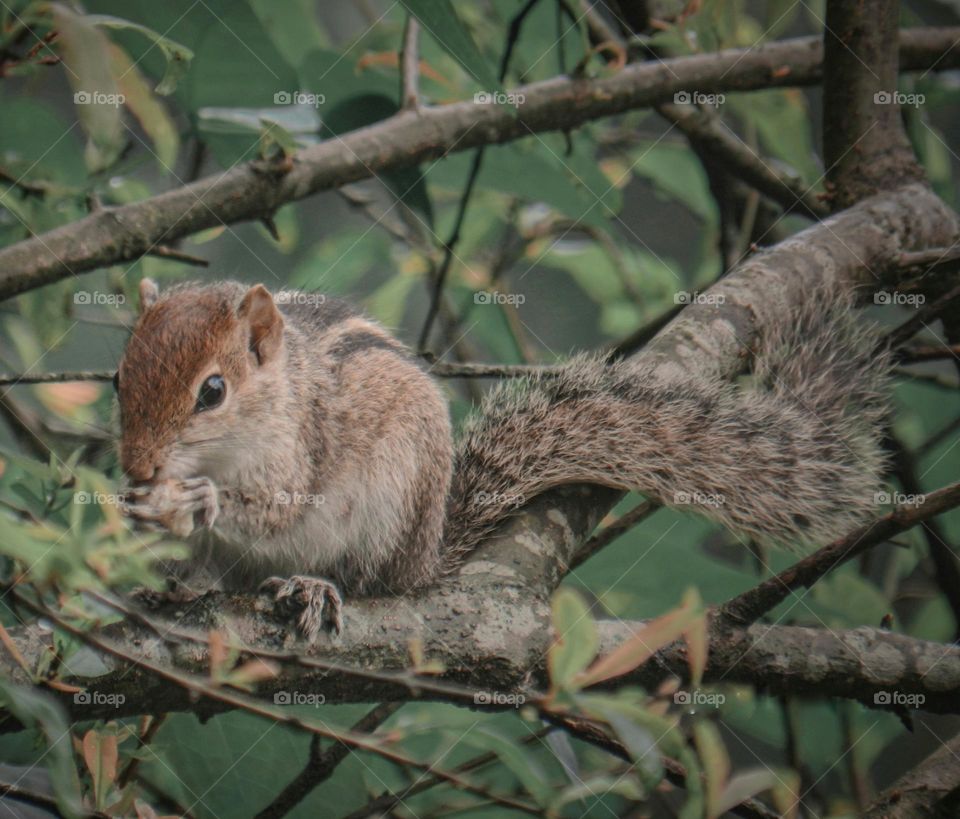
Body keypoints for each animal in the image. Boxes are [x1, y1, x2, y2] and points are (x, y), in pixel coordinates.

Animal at [117, 278, 890, 639]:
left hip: (388, 512)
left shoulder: (303, 448)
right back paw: (179, 587)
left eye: (213, 391)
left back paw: (313, 587)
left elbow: (275, 507)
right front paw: (136, 516)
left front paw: (198, 502)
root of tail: (428, 553)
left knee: (369, 581)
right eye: (120, 376)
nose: (140, 469)